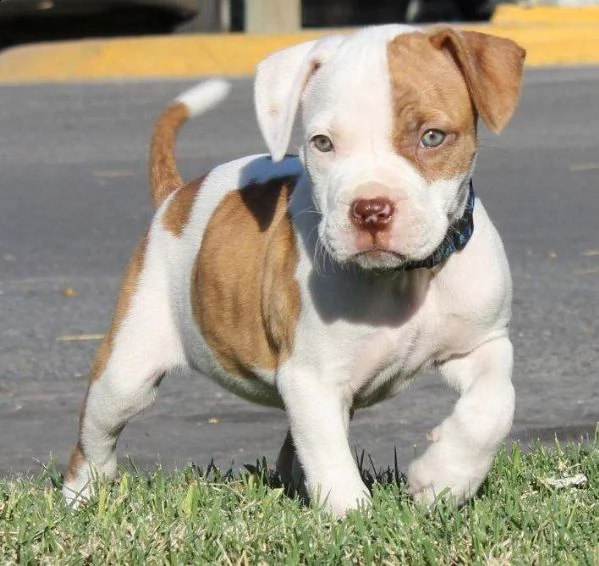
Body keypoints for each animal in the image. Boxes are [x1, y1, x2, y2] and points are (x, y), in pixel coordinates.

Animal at [63, 25, 528, 520]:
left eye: (433, 137)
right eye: (322, 143)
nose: (370, 209)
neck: (404, 277)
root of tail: (176, 197)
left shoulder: (482, 343)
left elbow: (495, 404)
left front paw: (444, 479)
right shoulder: (311, 378)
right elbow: (329, 456)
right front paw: (353, 517)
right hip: (127, 372)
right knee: (94, 439)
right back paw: (80, 498)